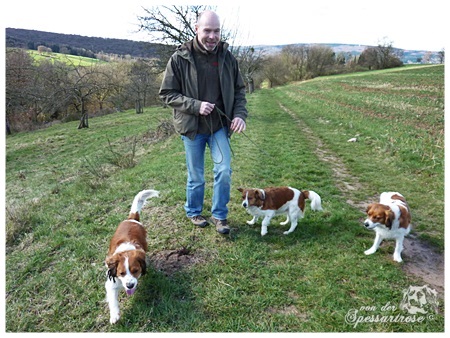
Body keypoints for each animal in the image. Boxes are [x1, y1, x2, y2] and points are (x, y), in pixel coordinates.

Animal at [105, 189, 160, 324]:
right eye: (121, 273)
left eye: (135, 271)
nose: (129, 285)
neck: (126, 250)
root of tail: (131, 219)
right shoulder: (111, 283)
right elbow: (113, 300)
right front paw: (114, 315)